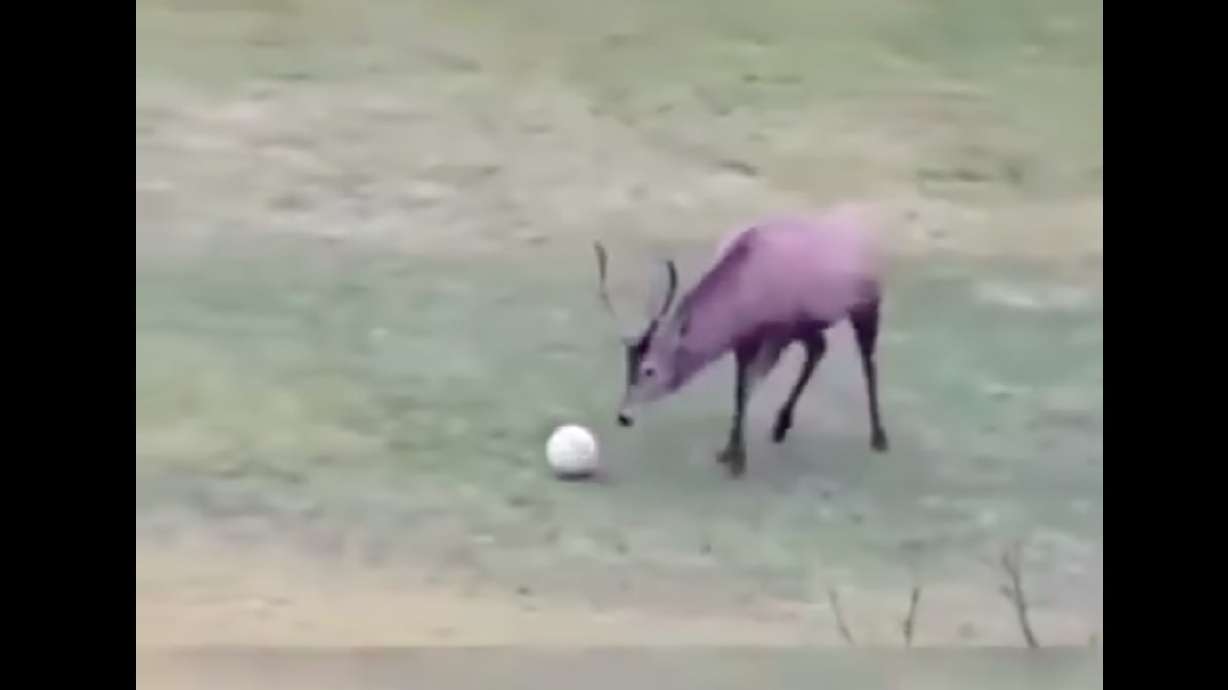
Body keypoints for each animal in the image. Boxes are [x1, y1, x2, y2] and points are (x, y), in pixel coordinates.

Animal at [594, 206, 889, 477]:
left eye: (649, 370)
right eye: (628, 366)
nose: (624, 416)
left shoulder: (777, 333)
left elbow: (748, 386)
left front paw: (736, 459)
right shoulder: (745, 341)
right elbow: (740, 390)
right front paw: (729, 452)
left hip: (866, 305)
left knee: (868, 361)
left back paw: (879, 437)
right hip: (808, 325)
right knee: (819, 349)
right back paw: (781, 425)